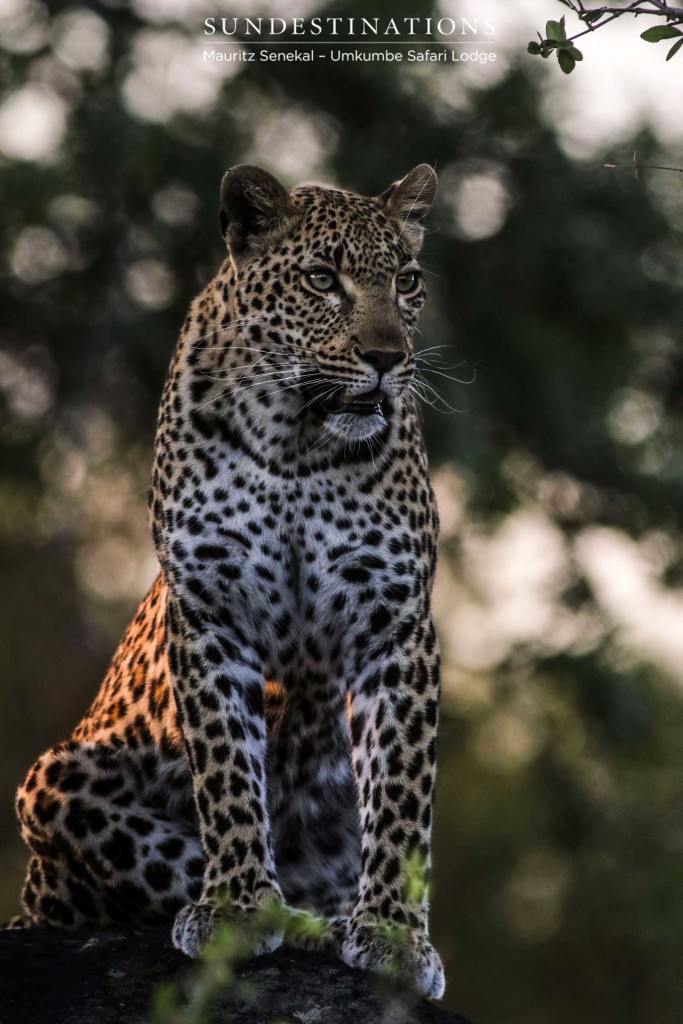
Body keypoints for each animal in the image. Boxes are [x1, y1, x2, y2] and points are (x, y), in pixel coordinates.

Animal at [14, 165, 448, 999]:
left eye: (408, 281)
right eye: (322, 280)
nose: (386, 356)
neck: (300, 441)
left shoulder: (394, 625)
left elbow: (401, 792)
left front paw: (391, 932)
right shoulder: (212, 610)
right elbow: (225, 771)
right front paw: (240, 908)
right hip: (54, 781)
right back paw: (294, 915)